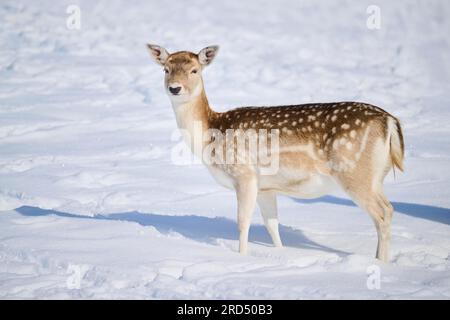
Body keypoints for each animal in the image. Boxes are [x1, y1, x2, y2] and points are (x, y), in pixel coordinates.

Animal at [147, 43, 404, 262]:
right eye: (166, 69)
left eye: (194, 70)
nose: (175, 88)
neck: (211, 134)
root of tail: (390, 122)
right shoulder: (266, 187)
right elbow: (272, 225)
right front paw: (281, 255)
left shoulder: (245, 174)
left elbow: (242, 222)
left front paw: (241, 257)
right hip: (375, 177)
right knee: (388, 209)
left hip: (355, 171)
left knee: (383, 214)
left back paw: (381, 263)